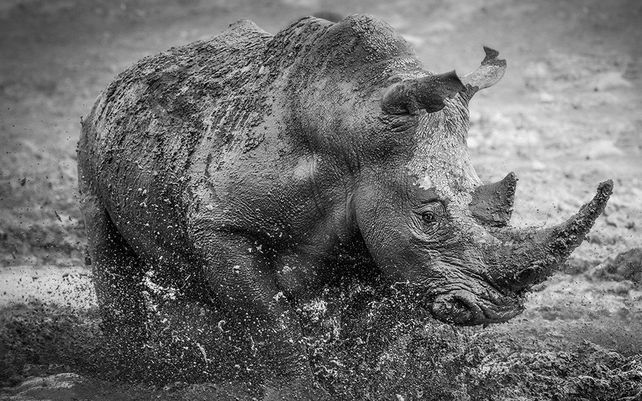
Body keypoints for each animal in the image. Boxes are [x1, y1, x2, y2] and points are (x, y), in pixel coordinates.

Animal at [77, 14, 612, 399]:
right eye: (428, 216)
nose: (500, 308)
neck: (355, 136)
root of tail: (125, 74)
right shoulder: (220, 223)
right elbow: (268, 316)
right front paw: (292, 390)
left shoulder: (384, 233)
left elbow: (366, 331)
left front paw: (354, 384)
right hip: (93, 133)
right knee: (106, 243)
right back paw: (136, 370)